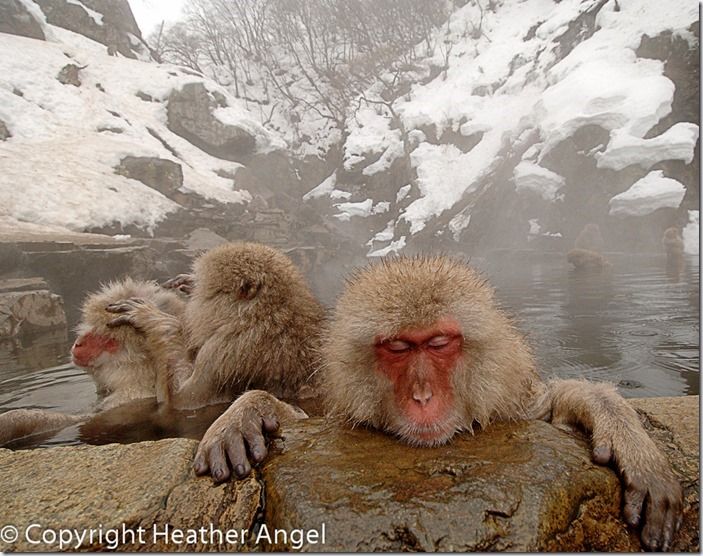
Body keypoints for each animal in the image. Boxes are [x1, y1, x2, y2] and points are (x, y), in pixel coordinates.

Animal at [195, 255, 684, 552]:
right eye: (398, 347)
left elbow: (550, 408)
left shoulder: (508, 400)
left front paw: (623, 434)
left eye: (438, 343)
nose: (422, 395)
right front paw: (248, 412)